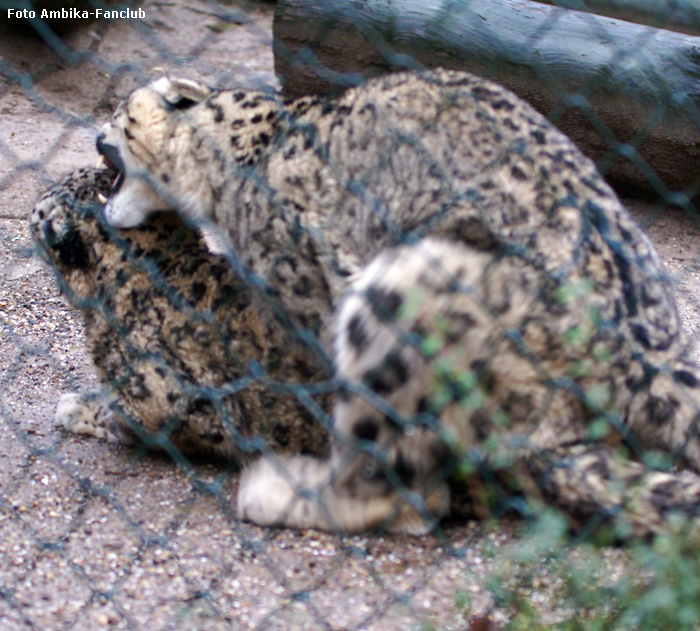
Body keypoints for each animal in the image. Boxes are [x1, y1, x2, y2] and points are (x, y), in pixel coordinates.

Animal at [45, 68, 700, 540]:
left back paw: (275, 490)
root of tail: (652, 359)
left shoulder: (310, 279)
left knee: (399, 487)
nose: (94, 135)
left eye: (117, 113)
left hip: (406, 292)